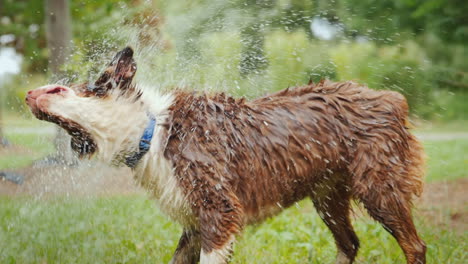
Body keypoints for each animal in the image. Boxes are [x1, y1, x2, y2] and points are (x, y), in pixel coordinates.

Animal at [26, 47, 428, 264]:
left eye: (87, 85)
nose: (27, 94)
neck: (153, 131)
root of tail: (391, 99)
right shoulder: (193, 223)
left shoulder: (218, 212)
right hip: (328, 194)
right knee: (350, 243)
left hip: (379, 187)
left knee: (414, 245)